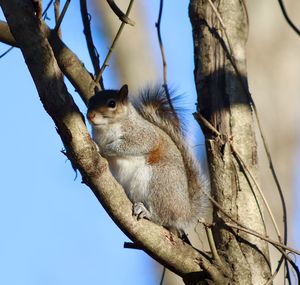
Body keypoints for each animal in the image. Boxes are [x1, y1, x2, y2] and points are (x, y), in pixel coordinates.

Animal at [86, 84, 209, 235]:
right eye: (90, 101)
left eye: (112, 103)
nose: (90, 115)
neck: (105, 129)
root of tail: (185, 212)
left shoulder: (143, 135)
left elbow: (136, 145)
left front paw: (101, 148)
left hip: (159, 180)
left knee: (163, 217)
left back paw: (147, 212)